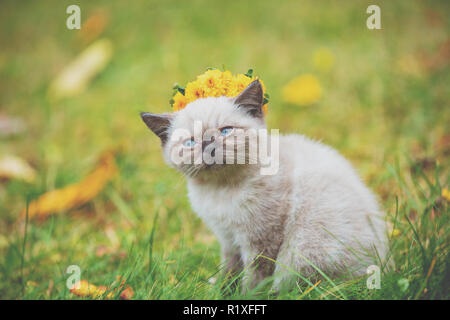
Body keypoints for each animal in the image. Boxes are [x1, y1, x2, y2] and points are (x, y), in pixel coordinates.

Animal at [142, 79, 390, 290]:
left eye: (225, 131)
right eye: (190, 142)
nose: (207, 144)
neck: (220, 190)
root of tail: (386, 265)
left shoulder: (262, 238)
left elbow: (255, 278)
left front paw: (246, 296)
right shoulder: (228, 238)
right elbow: (230, 270)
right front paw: (221, 291)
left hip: (307, 247)